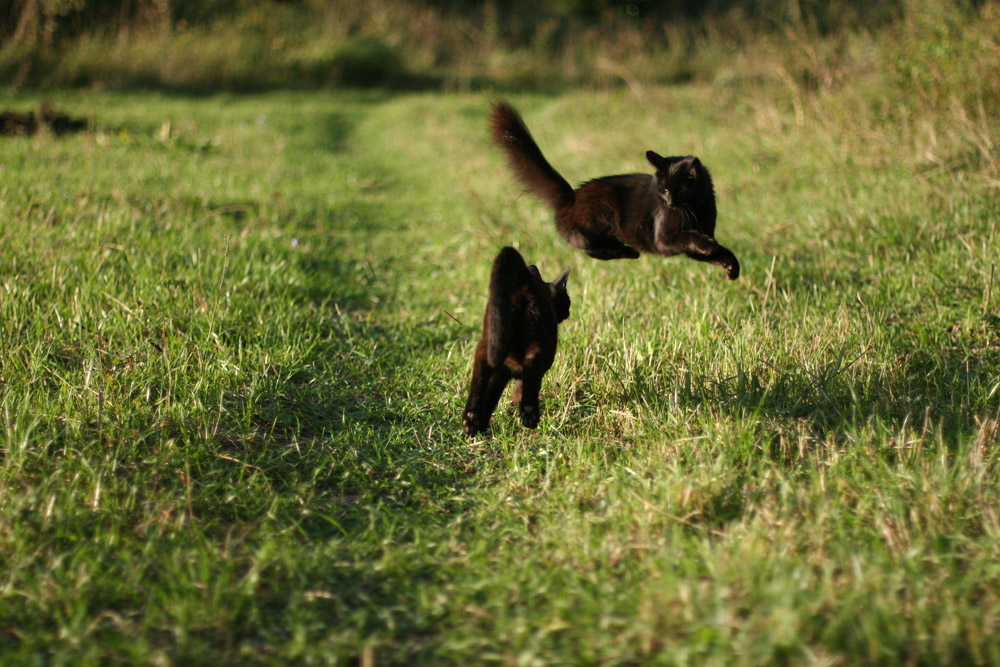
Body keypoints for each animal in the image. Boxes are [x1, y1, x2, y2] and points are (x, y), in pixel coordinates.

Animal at [462, 248, 572, 436]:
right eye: (568, 301)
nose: (568, 312)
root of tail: (525, 281)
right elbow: (521, 386)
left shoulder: (501, 374)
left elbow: (491, 398)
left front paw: (481, 425)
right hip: (542, 345)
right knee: (532, 366)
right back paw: (529, 414)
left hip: (490, 340)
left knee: (481, 366)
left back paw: (470, 419)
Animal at [488, 100, 740, 280]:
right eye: (664, 189)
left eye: (678, 189)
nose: (669, 203)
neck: (695, 208)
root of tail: (572, 197)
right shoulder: (664, 238)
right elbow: (689, 236)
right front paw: (710, 246)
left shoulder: (693, 242)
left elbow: (716, 250)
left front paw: (731, 267)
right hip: (604, 205)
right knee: (586, 245)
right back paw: (626, 250)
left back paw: (627, 251)